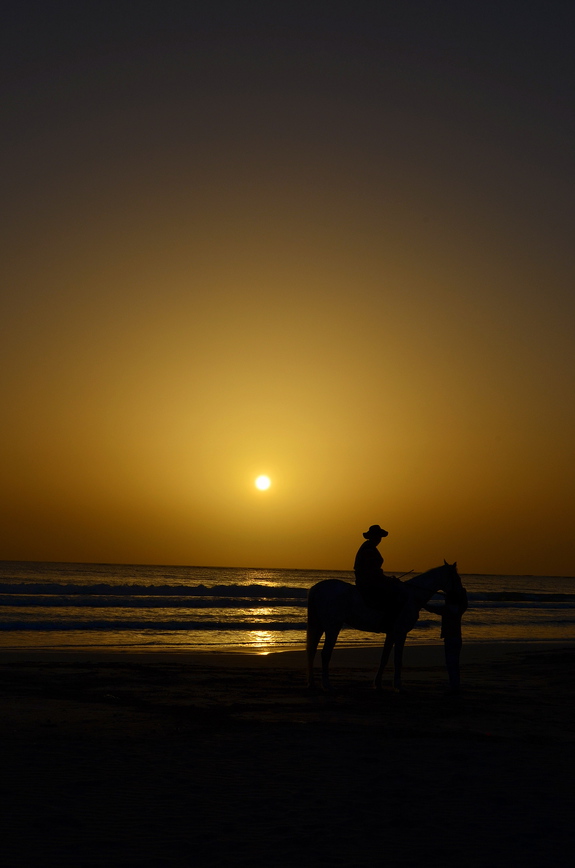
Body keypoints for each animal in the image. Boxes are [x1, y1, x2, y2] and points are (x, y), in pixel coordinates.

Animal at [306, 564, 464, 692]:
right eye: (457, 577)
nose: (460, 596)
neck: (411, 596)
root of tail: (318, 588)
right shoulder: (400, 632)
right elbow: (398, 659)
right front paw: (398, 686)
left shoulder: (391, 633)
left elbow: (384, 658)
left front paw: (378, 684)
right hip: (332, 628)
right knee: (325, 653)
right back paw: (327, 685)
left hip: (319, 626)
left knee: (312, 651)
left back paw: (312, 684)